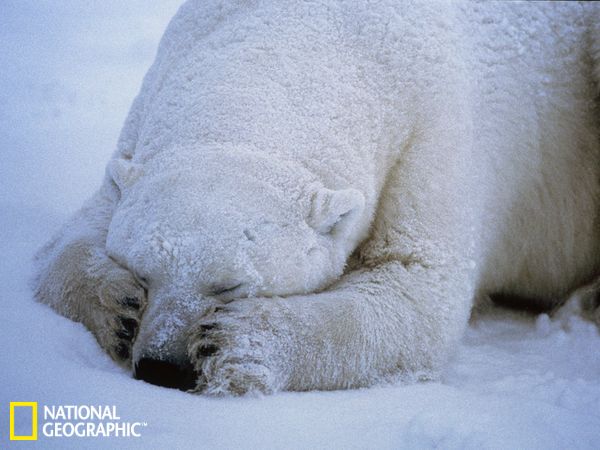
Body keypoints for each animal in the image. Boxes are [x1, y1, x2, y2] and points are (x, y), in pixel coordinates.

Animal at [34, 0, 600, 394]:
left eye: (231, 287)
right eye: (144, 271)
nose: (161, 366)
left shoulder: (435, 138)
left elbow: (417, 291)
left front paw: (235, 343)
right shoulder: (148, 108)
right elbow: (74, 233)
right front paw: (118, 307)